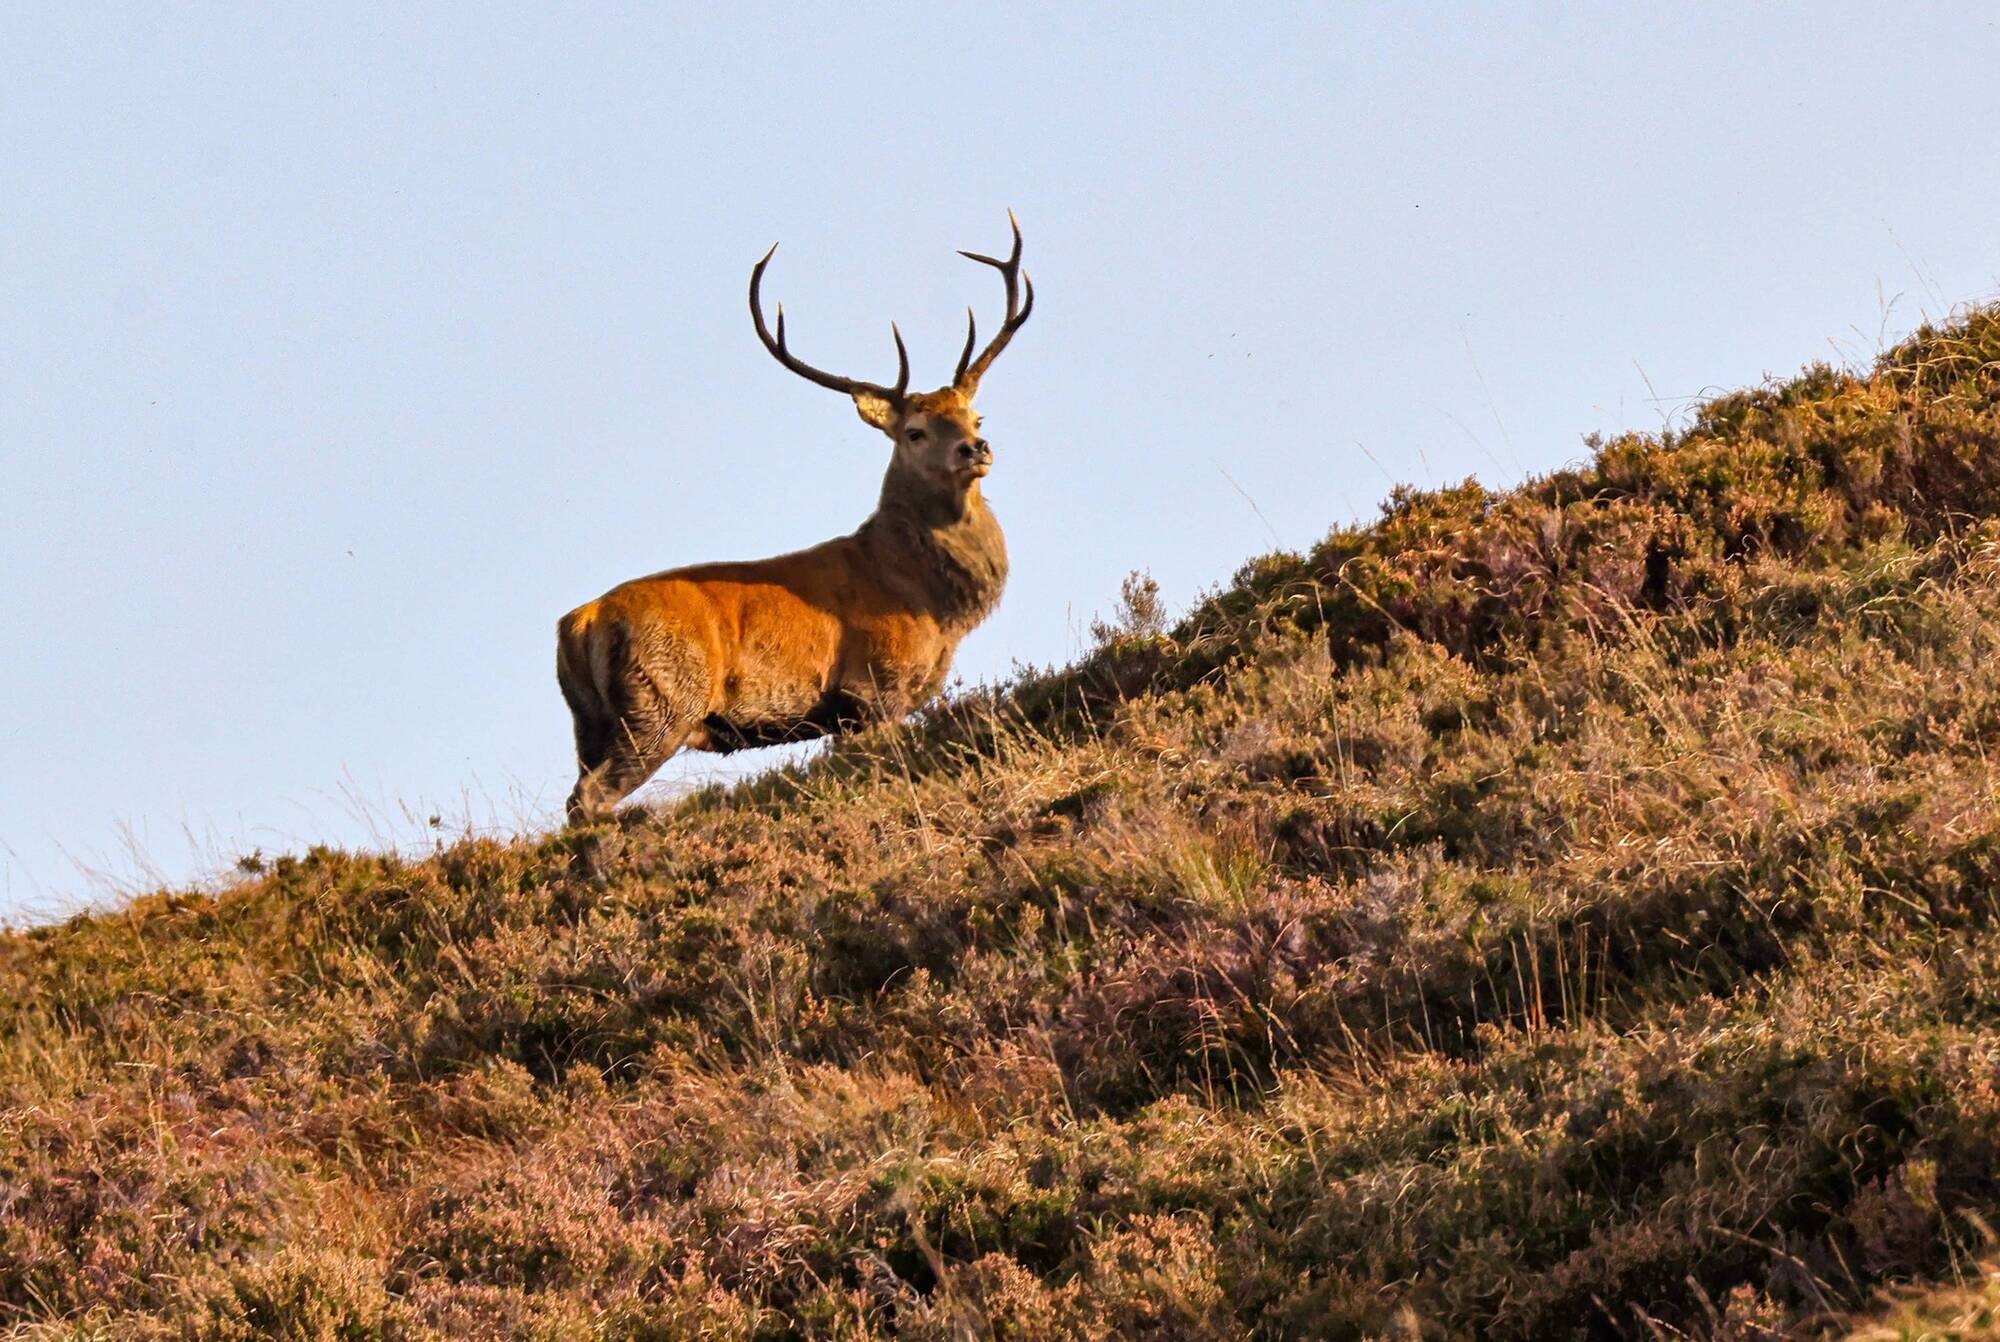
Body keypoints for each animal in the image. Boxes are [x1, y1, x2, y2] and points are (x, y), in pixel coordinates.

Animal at [555, 212, 1034, 823]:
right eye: (915, 431)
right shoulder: (874, 688)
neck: (930, 602)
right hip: (659, 703)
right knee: (587, 798)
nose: (975, 448)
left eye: (976, 415)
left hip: (590, 724)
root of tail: (579, 622)